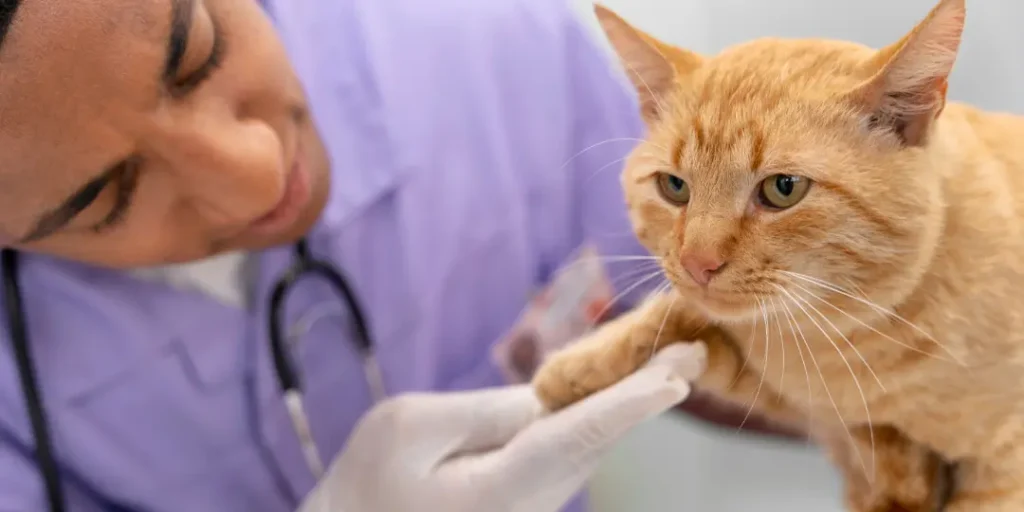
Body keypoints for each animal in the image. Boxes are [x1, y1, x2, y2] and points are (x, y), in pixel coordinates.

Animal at [536, 2, 1024, 509]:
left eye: (783, 189)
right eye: (674, 187)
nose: (697, 262)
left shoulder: (1004, 464)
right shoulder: (805, 405)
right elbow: (679, 318)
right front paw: (575, 367)